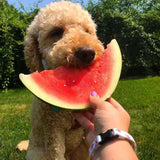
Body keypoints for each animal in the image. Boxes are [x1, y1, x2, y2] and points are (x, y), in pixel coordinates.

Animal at [20, 1, 104, 160]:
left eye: (87, 31)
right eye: (56, 32)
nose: (88, 52)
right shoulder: (53, 130)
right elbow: (56, 152)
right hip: (38, 153)